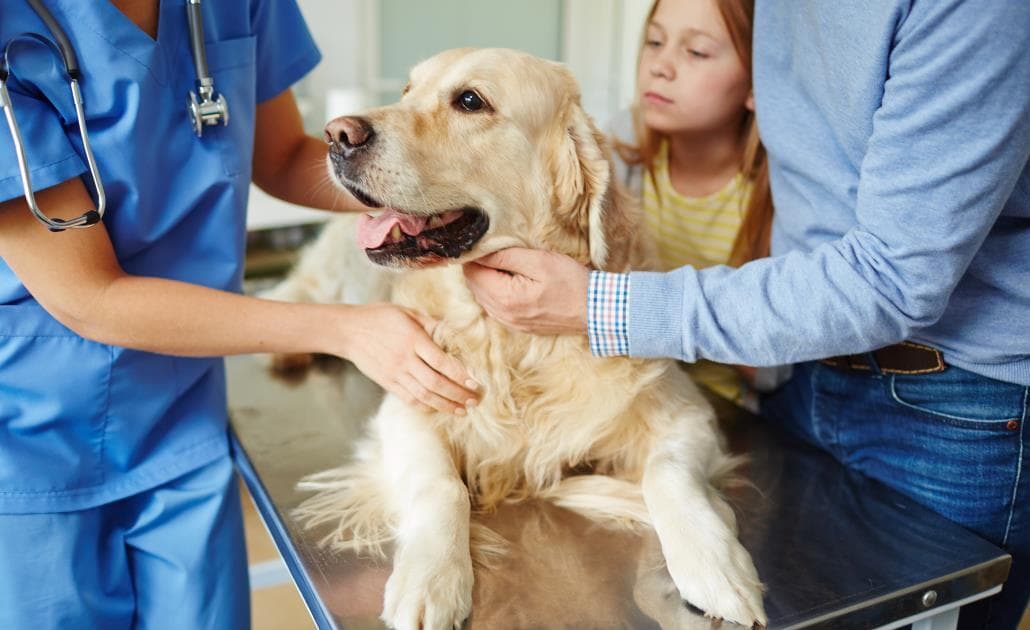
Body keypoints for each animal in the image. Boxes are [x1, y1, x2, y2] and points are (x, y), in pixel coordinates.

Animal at [280, 46, 766, 625]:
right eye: (406, 91)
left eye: (471, 101)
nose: (337, 134)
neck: (513, 341)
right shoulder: (408, 404)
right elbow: (441, 486)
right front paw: (431, 578)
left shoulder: (687, 412)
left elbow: (667, 473)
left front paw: (717, 566)